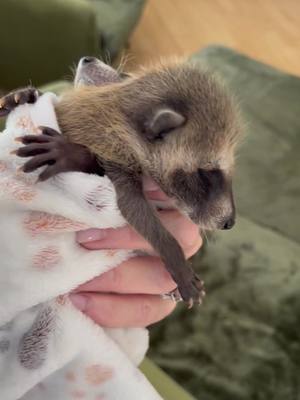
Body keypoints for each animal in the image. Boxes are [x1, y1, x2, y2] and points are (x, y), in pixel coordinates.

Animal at [0, 57, 240, 306]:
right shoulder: (114, 147)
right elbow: (130, 205)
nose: (230, 222)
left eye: (123, 75)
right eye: (207, 173)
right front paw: (175, 257)